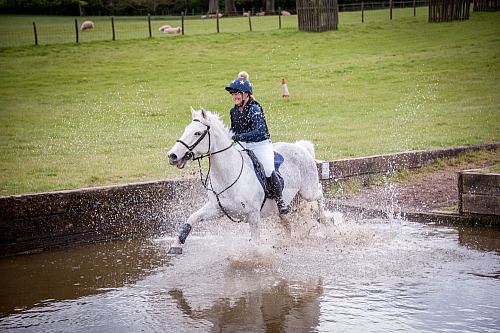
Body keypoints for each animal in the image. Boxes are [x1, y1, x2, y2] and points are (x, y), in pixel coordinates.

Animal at [166, 107, 326, 253]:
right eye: (186, 129)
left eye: (197, 133)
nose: (172, 155)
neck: (228, 175)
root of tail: (301, 147)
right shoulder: (216, 209)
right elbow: (192, 218)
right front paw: (176, 245)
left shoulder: (253, 215)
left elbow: (254, 245)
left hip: (308, 191)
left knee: (319, 192)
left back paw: (325, 222)